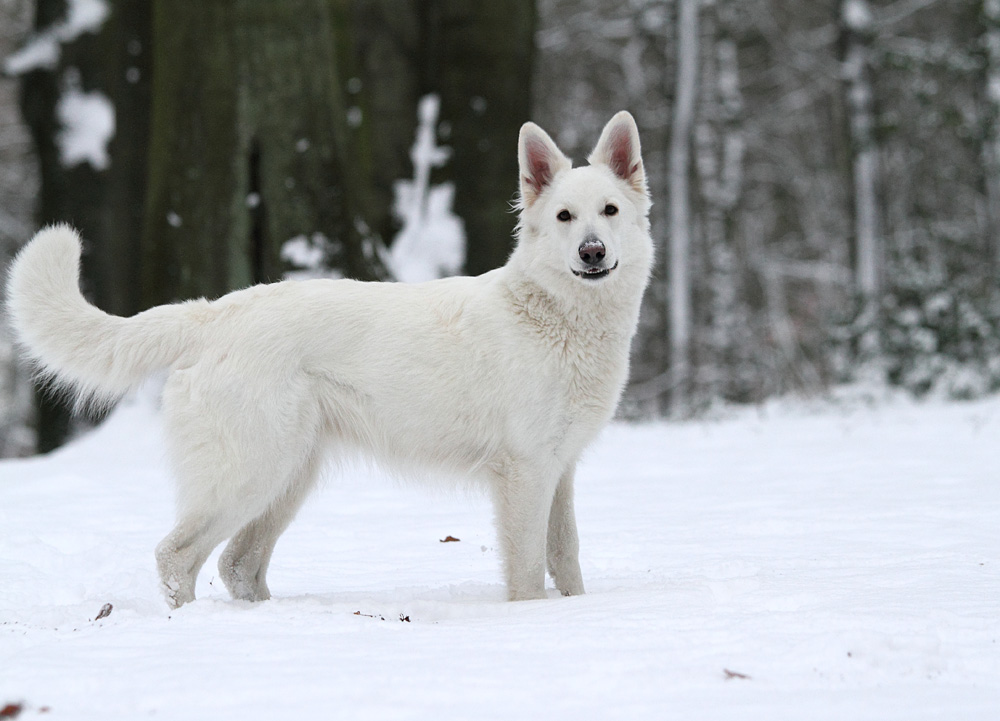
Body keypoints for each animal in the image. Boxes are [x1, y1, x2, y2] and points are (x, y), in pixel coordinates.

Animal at [6, 111, 653, 608]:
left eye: (609, 211)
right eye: (565, 217)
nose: (592, 252)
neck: (555, 317)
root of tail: (214, 314)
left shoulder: (559, 471)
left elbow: (565, 556)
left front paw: (575, 611)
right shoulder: (524, 474)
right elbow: (526, 572)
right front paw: (533, 620)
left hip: (288, 478)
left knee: (238, 564)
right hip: (251, 475)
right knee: (177, 555)